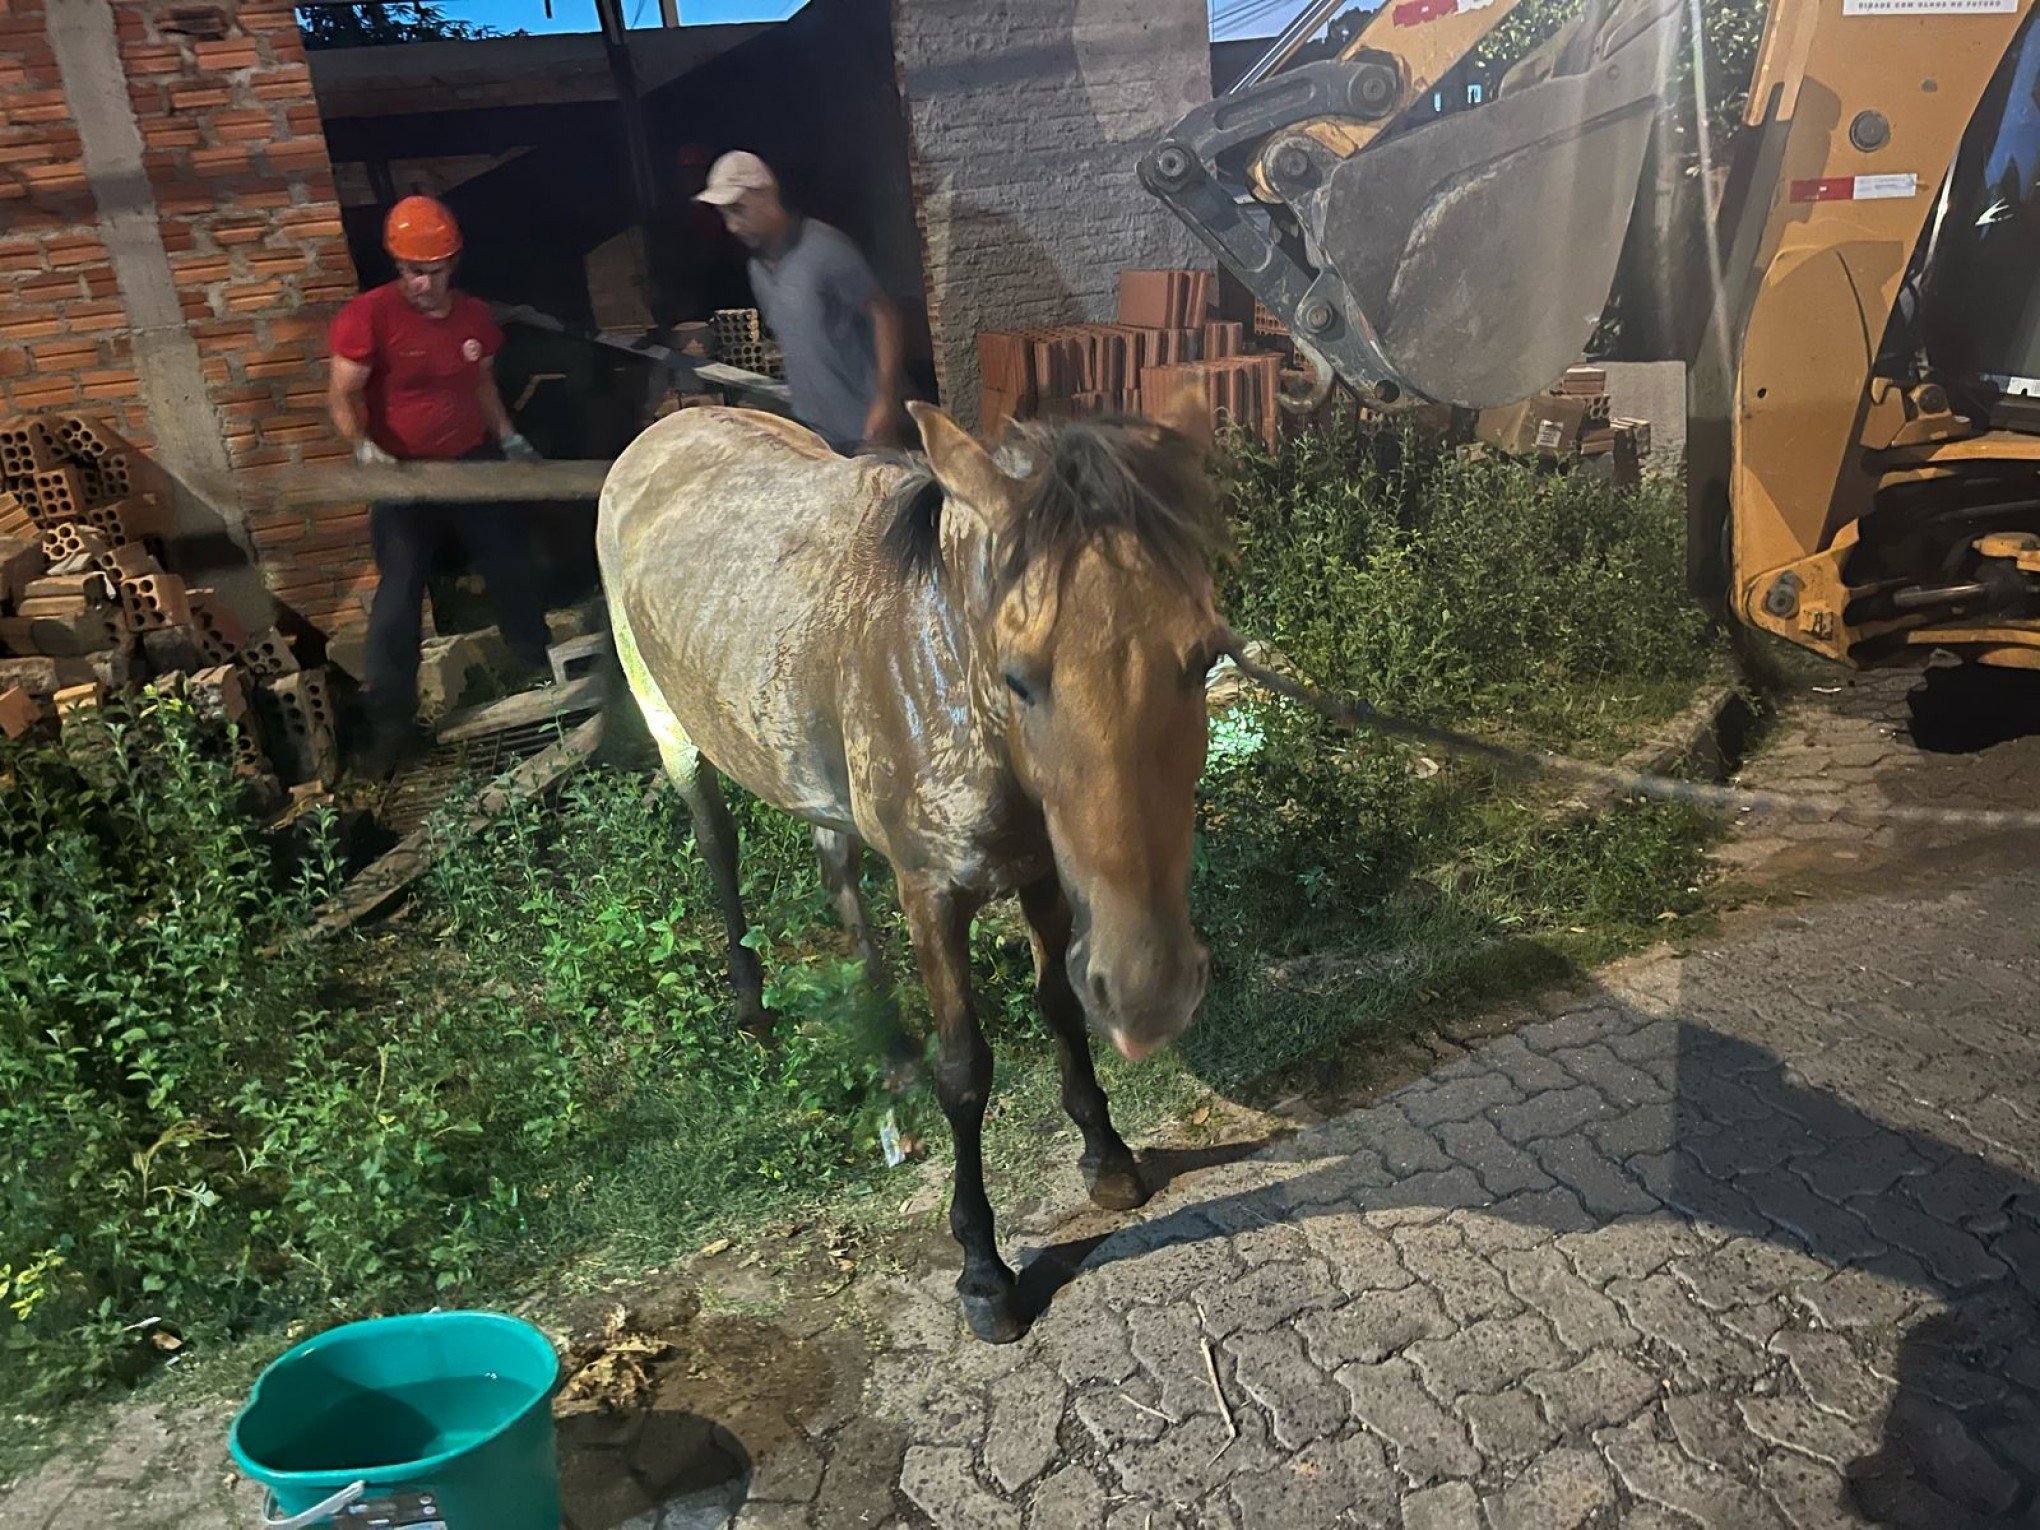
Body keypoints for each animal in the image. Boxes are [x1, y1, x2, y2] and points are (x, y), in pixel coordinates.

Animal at [595, 395, 1224, 1338]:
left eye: (1207, 654)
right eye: (1020, 677)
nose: (1150, 995)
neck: (950, 677)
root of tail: (664, 427)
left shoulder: (1043, 875)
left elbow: (1060, 1008)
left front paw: (1107, 1156)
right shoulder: (933, 893)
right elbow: (964, 1073)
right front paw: (984, 1271)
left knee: (837, 873)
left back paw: (887, 1046)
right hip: (669, 725)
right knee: (717, 844)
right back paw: (753, 1010)